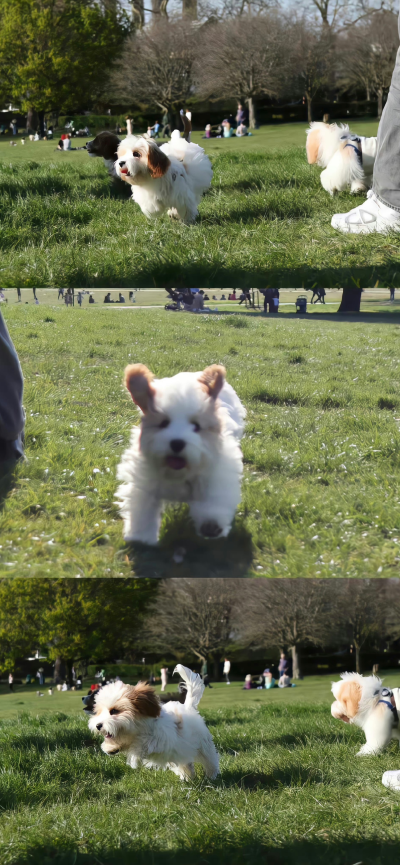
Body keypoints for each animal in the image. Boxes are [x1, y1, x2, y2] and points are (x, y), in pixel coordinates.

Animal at [88, 664, 219, 780]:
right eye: (99, 712)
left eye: (114, 711)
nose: (98, 725)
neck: (139, 730)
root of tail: (188, 707)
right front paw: (110, 747)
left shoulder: (160, 739)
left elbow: (142, 745)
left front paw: (134, 758)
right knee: (185, 763)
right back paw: (187, 776)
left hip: (203, 745)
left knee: (210, 759)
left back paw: (212, 776)